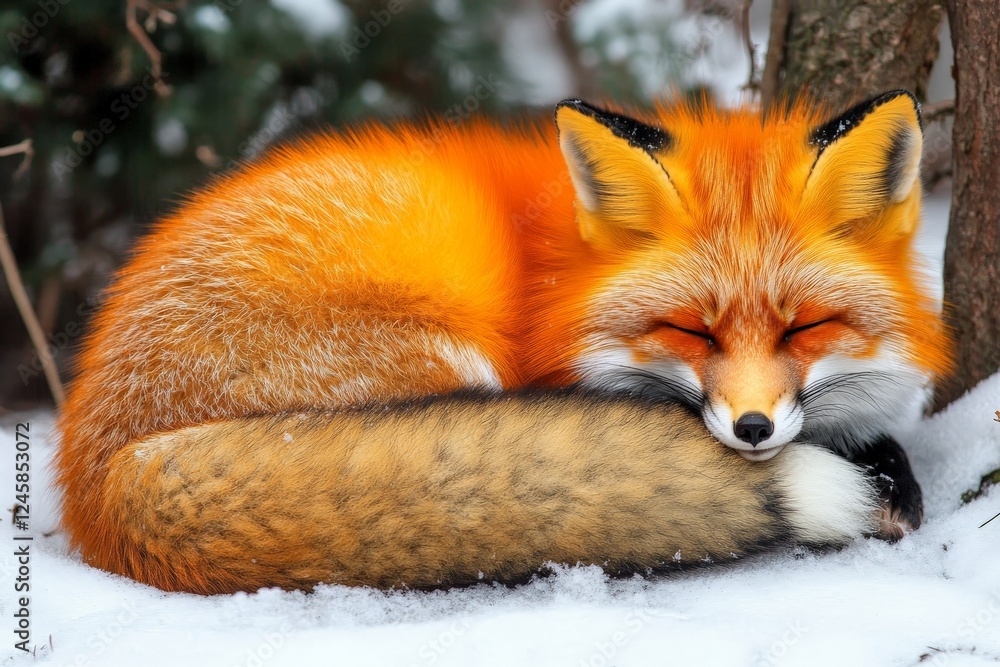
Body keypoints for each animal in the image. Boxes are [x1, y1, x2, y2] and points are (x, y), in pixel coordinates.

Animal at [55, 89, 950, 594]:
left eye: (804, 326)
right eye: (690, 329)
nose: (754, 429)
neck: (562, 281)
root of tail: (94, 470)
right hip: (444, 358)